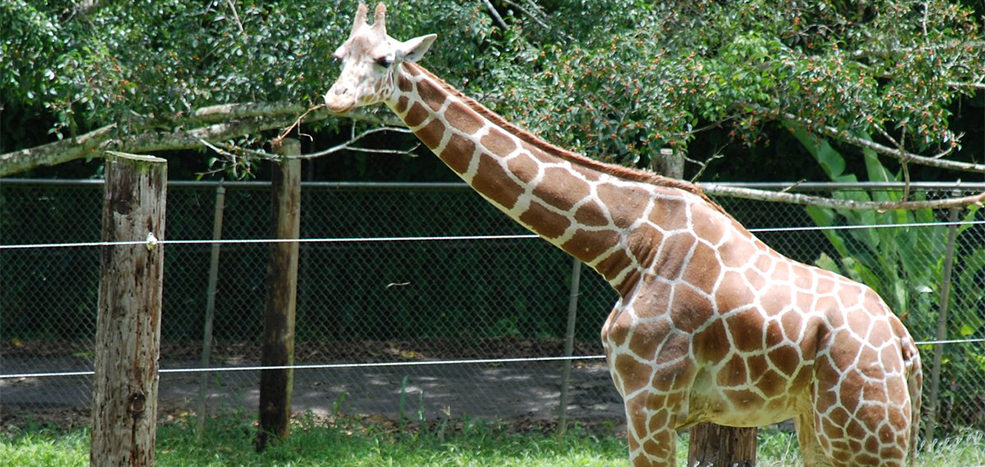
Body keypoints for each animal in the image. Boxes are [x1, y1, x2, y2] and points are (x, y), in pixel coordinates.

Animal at [322, 2, 924, 464]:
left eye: (383, 59)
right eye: (338, 57)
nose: (336, 99)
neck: (630, 249)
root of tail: (905, 348)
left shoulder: (649, 402)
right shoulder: (652, 406)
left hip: (864, 433)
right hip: (822, 427)